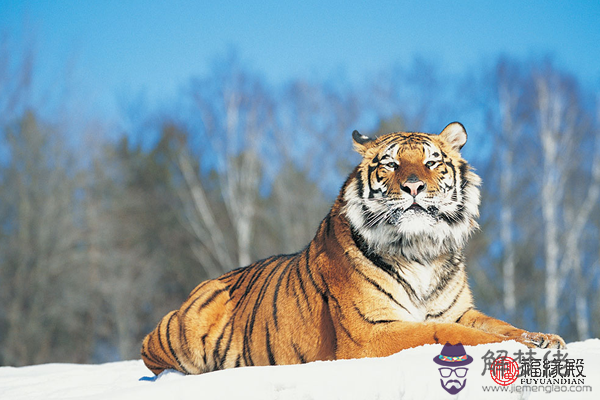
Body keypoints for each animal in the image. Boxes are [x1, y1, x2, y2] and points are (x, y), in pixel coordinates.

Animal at [143, 122, 564, 376]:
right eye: (390, 164)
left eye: (432, 162)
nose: (414, 186)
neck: (421, 250)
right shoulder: (372, 332)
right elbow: (446, 333)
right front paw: (513, 346)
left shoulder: (460, 311)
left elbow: (495, 323)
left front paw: (543, 338)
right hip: (187, 324)